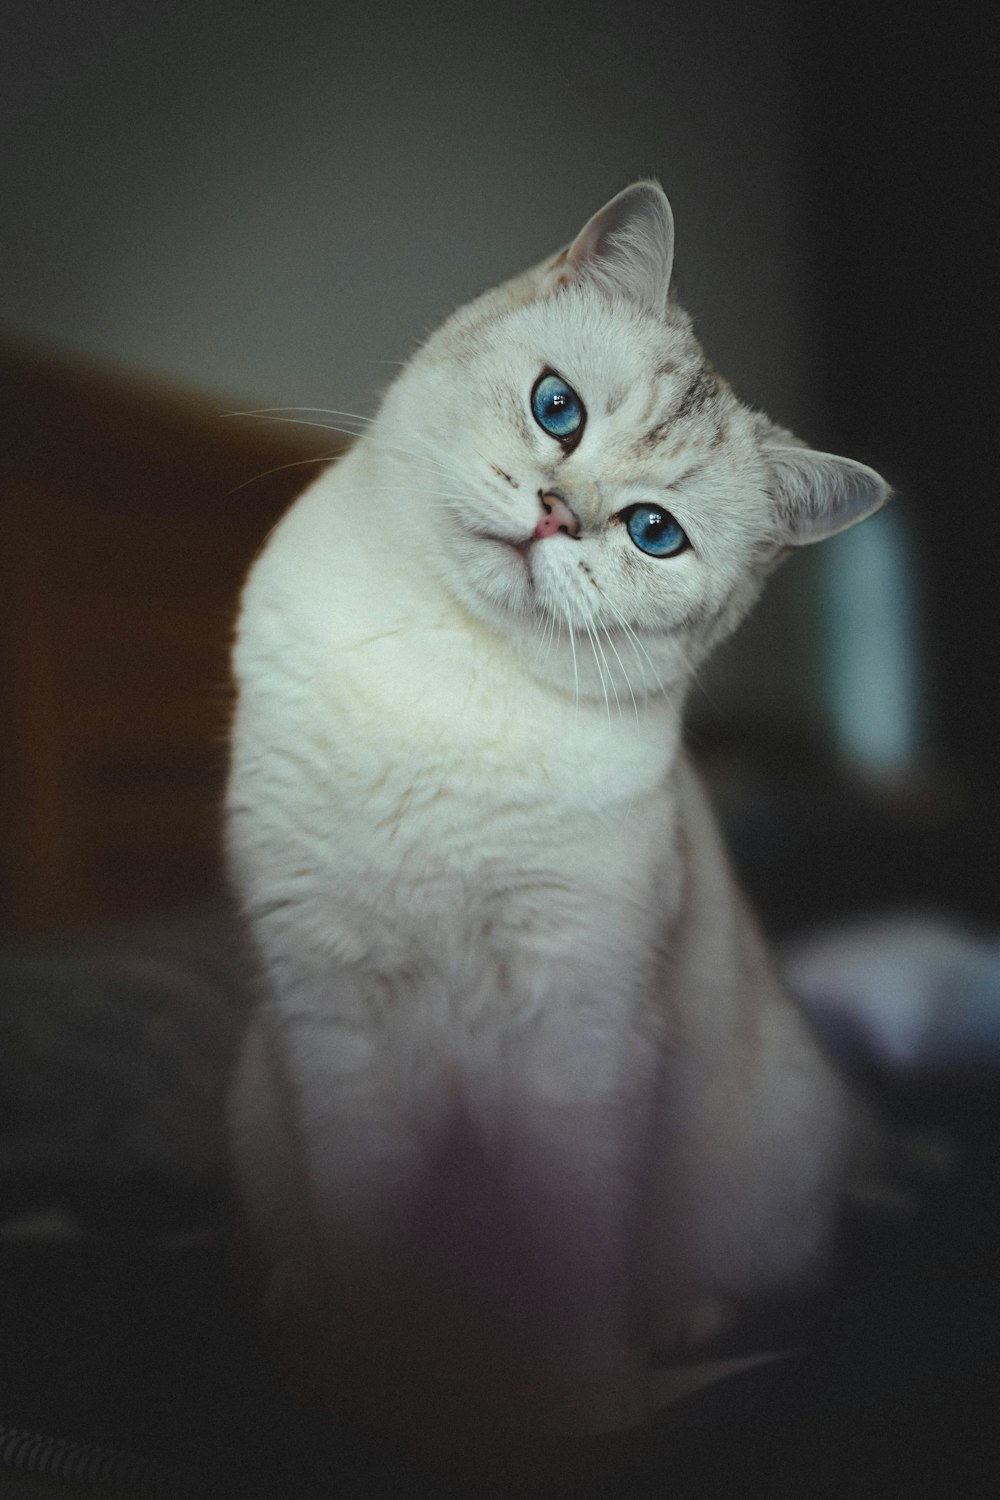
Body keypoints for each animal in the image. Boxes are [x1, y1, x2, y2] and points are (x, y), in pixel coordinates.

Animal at [229, 181, 893, 1446]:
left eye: (652, 533)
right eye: (557, 410)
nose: (552, 513)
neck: (451, 668)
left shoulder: (576, 1026)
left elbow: (568, 1247)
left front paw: (577, 1404)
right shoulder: (334, 1010)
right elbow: (368, 1228)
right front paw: (366, 1389)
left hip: (768, 1161)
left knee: (721, 1276)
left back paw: (672, 1326)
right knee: (303, 1246)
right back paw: (298, 1312)